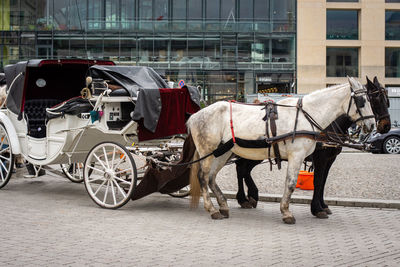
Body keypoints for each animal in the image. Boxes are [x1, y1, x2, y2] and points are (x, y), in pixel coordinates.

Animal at [188, 77, 376, 224]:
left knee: (212, 177)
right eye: (362, 101)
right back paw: (212, 209)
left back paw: (223, 205)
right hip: (208, 150)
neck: (306, 116)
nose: (373, 125)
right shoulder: (298, 156)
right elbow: (292, 183)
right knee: (203, 177)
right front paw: (287, 212)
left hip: (223, 152)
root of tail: (196, 115)